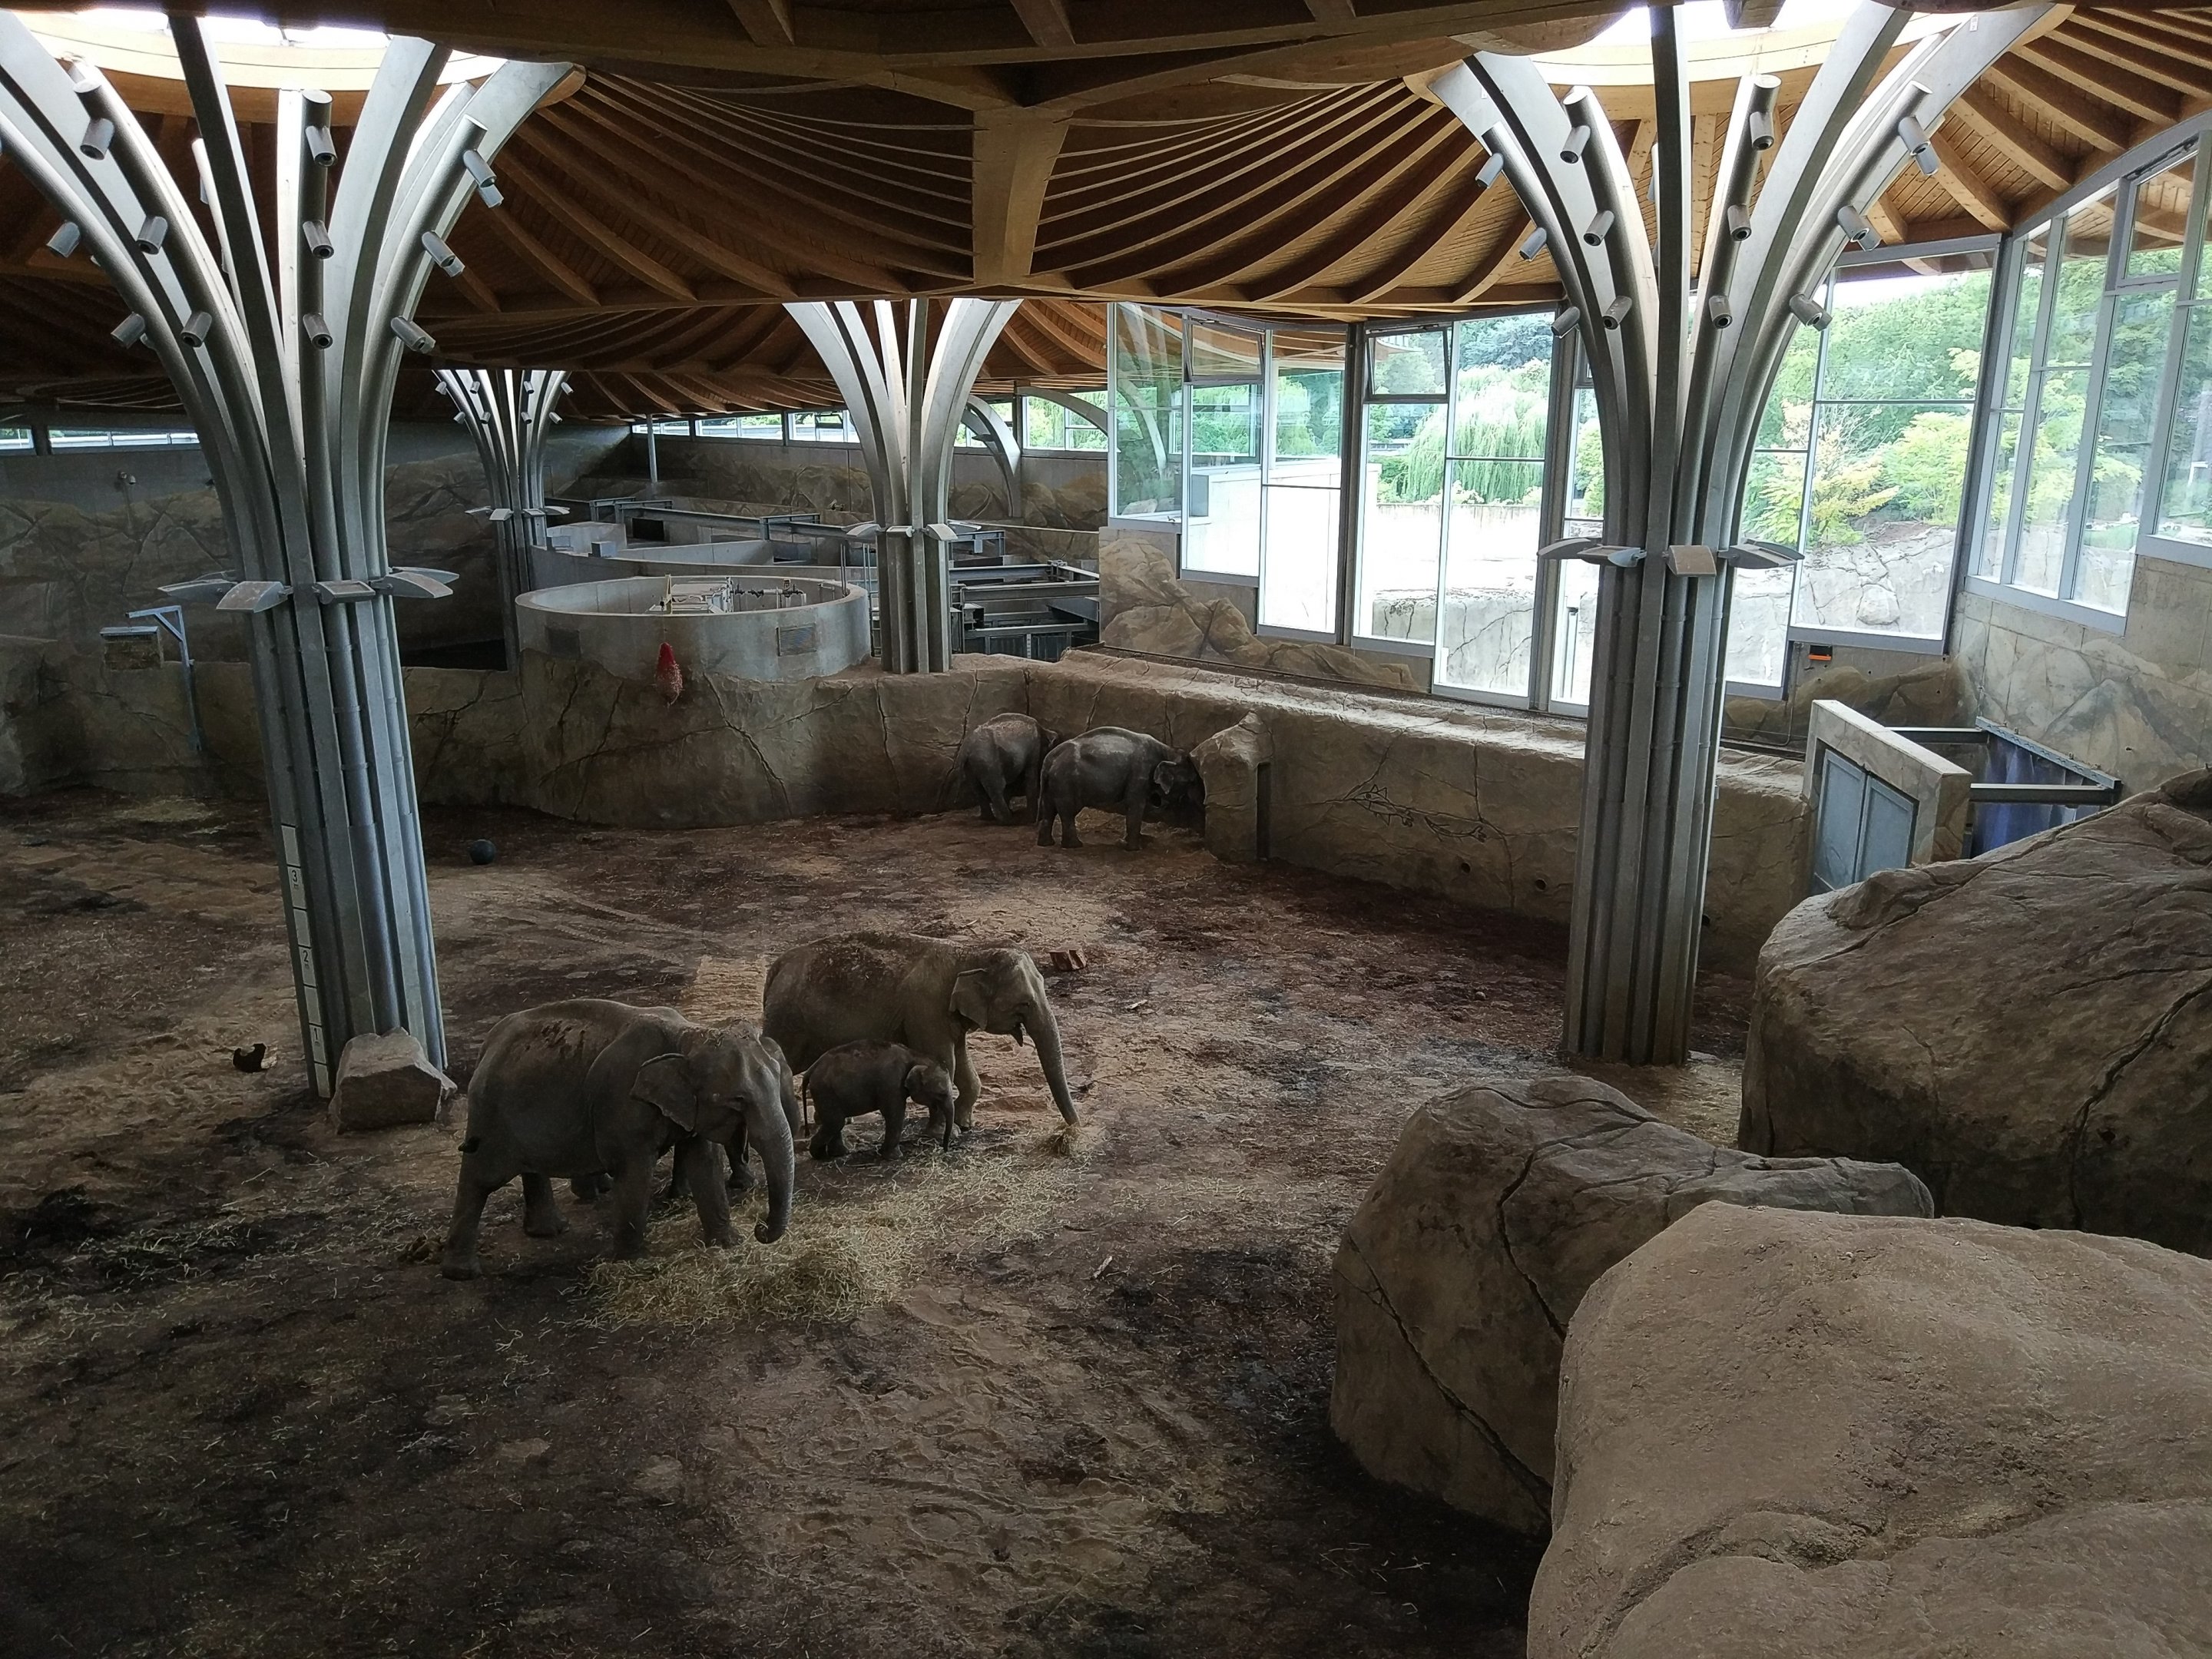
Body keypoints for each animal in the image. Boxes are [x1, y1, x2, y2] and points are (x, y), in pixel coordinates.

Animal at [441, 998, 796, 1280]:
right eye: (738, 1100)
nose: (760, 1229)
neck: (688, 1036)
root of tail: (490, 1042)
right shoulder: (622, 1105)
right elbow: (635, 1171)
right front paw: (632, 1261)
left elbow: (705, 1163)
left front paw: (728, 1244)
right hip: (490, 1113)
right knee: (481, 1176)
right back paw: (462, 1273)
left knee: (530, 1165)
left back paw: (551, 1231)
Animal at [764, 931, 1078, 1133]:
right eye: (1025, 1003)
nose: (1075, 1129)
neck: (969, 953)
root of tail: (776, 968)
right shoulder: (926, 1009)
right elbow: (945, 1062)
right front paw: (940, 1133)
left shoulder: (950, 1017)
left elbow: (963, 1063)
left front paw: (964, 1125)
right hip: (787, 1020)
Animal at [803, 1039, 959, 1160]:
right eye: (941, 1094)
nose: (945, 1149)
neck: (915, 1056)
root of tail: (811, 1068)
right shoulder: (892, 1084)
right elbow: (895, 1114)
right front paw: (894, 1157)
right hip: (825, 1091)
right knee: (835, 1122)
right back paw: (819, 1155)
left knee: (835, 1122)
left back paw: (840, 1153)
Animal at [956, 712, 1061, 825]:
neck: (1044, 730)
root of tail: (965, 749)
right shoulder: (1034, 748)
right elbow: (1029, 777)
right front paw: (1032, 819)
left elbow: (1015, 781)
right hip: (988, 762)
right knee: (997, 788)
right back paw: (1008, 820)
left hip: (970, 766)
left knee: (977, 788)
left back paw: (988, 818)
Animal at [1036, 726, 1202, 850]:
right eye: (1192, 781)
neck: (1167, 750)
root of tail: (1049, 759)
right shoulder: (1140, 773)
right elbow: (1136, 806)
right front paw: (1135, 848)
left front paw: (1129, 842)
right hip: (1066, 781)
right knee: (1067, 811)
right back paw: (1075, 845)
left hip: (1054, 782)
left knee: (1049, 809)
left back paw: (1046, 844)